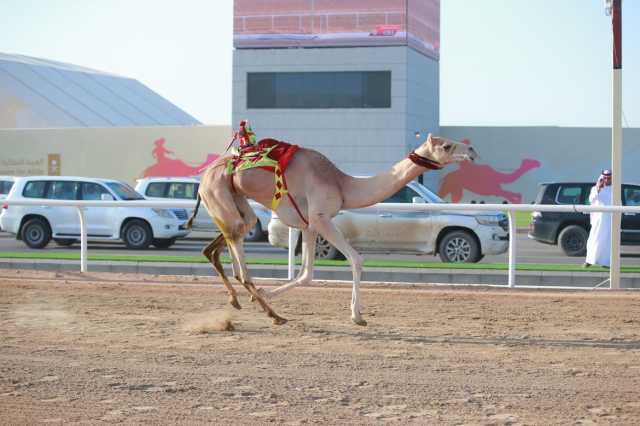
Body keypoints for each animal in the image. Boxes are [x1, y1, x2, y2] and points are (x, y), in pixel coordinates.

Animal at [188, 127, 478, 326]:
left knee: (228, 238)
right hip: (217, 192)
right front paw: (357, 315)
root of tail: (204, 177)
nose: (472, 151)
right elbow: (356, 259)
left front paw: (264, 294)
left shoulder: (308, 224)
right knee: (237, 245)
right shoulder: (320, 217)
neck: (343, 185)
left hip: (234, 200)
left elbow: (306, 274)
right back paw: (271, 312)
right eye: (447, 146)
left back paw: (241, 299)